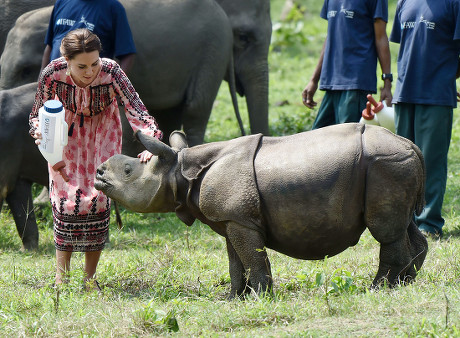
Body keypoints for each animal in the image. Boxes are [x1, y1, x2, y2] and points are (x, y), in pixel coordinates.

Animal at [95, 123, 430, 296]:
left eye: (128, 171)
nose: (97, 173)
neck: (180, 169)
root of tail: (413, 146)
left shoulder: (241, 218)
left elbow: (252, 257)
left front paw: (260, 296)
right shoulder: (232, 218)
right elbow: (235, 260)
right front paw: (233, 298)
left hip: (385, 163)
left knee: (385, 231)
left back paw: (379, 288)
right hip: (393, 165)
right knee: (403, 225)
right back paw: (406, 282)